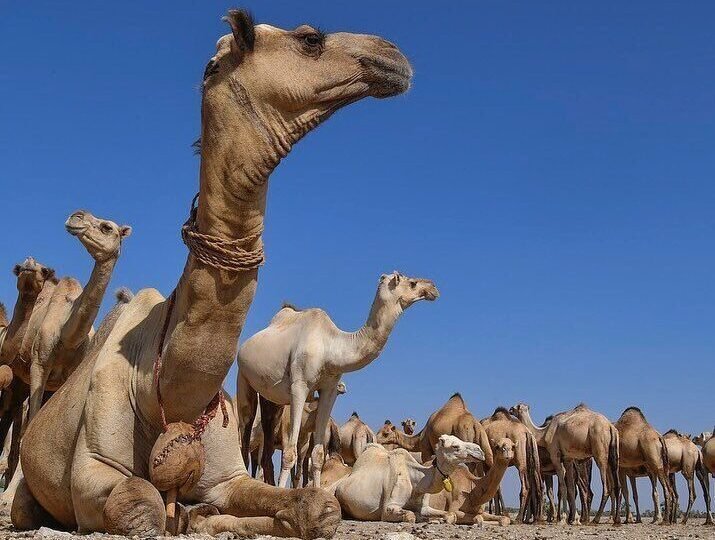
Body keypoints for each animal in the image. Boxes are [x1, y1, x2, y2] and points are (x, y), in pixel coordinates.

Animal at [14, 10, 412, 539]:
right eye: (310, 39)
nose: (393, 57)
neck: (158, 387)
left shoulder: (228, 475)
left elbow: (316, 507)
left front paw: (242, 515)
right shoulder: (95, 469)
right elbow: (140, 502)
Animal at [238, 271, 438, 488]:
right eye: (412, 283)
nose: (433, 288)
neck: (331, 347)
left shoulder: (330, 389)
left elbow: (318, 454)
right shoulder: (299, 386)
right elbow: (289, 453)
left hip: (271, 399)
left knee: (266, 450)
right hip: (243, 377)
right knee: (245, 432)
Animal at [333, 435, 485, 523]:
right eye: (455, 446)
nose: (480, 451)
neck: (416, 481)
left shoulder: (425, 506)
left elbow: (450, 514)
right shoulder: (388, 508)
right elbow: (411, 515)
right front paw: (421, 518)